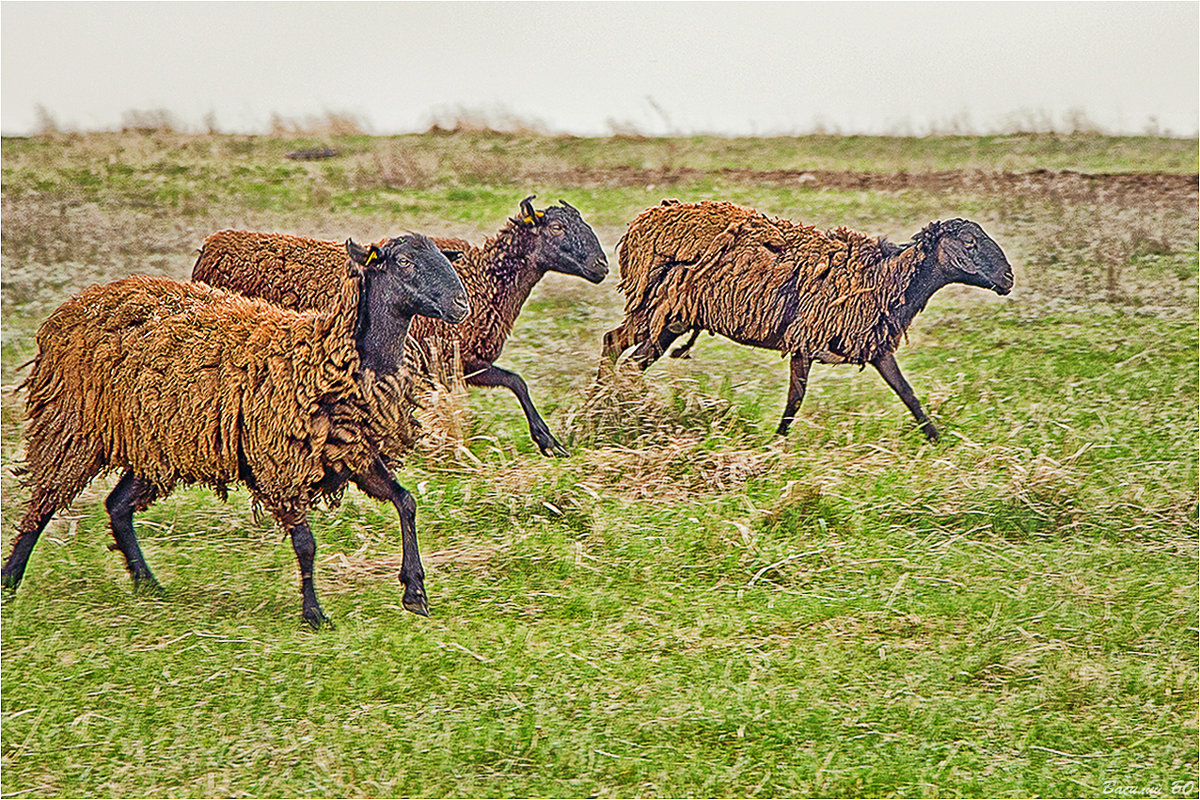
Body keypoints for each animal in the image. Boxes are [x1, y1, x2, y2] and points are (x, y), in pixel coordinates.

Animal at [0, 235, 468, 628]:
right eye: (404, 261)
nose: (461, 304)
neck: (331, 356)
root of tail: (76, 304)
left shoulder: (352, 451)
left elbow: (405, 502)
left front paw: (415, 592)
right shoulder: (281, 463)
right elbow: (306, 543)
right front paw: (314, 614)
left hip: (156, 442)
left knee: (116, 506)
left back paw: (149, 585)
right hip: (73, 426)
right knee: (43, 505)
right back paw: (10, 581)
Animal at [196, 194, 614, 455]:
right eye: (556, 228)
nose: (601, 266)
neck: (485, 281)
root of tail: (210, 248)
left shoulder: (461, 364)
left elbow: (516, 382)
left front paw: (548, 443)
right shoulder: (442, 361)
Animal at [600, 199, 1012, 438]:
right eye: (970, 242)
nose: (1008, 278)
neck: (885, 277)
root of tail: (642, 223)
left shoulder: (875, 347)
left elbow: (908, 394)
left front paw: (938, 441)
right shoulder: (804, 340)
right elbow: (795, 400)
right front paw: (775, 444)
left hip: (672, 318)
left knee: (628, 359)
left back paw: (613, 407)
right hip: (654, 307)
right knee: (614, 344)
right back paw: (605, 408)